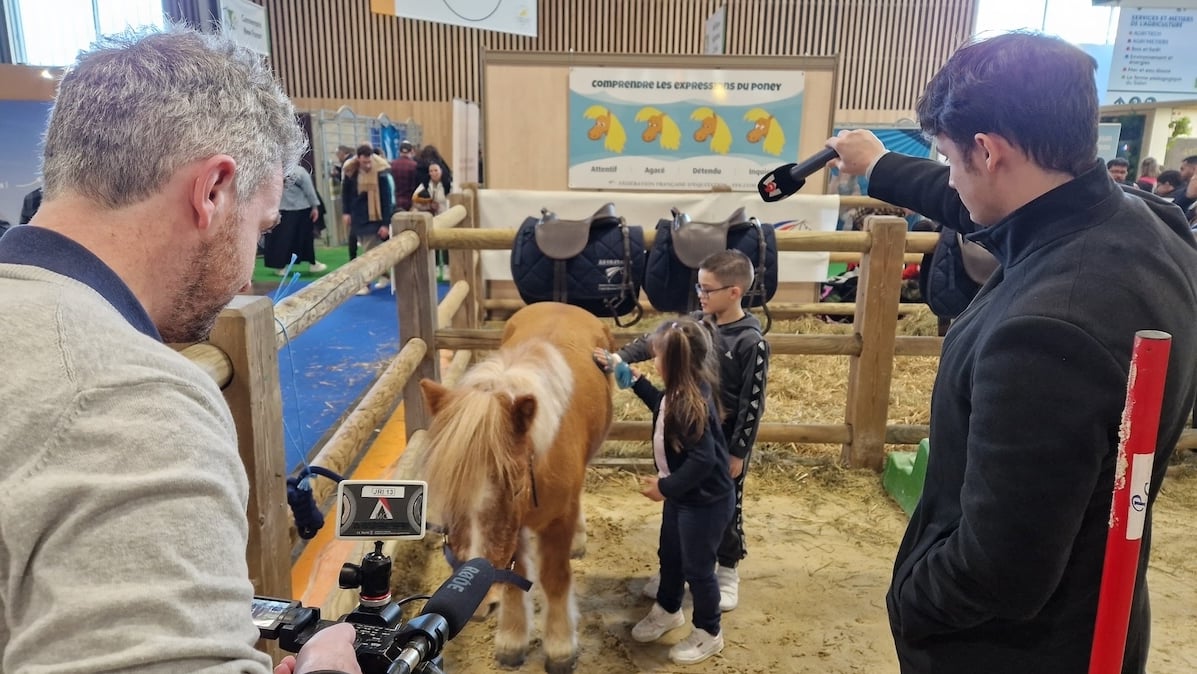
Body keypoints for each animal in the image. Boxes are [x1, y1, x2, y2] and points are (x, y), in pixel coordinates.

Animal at [418, 306, 612, 674]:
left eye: (515, 485)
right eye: (448, 488)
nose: (479, 607)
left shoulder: (556, 521)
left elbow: (554, 578)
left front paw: (560, 647)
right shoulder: (514, 529)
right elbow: (514, 577)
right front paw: (512, 639)